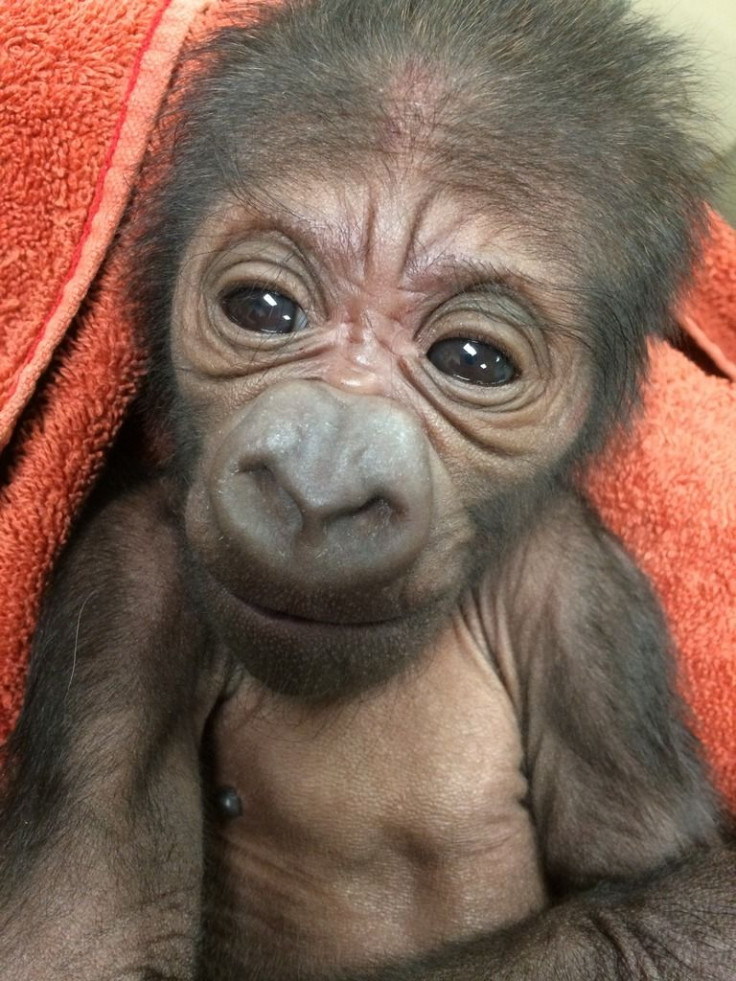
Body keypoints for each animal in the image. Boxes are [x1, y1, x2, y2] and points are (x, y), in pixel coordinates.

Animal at [1, 1, 736, 980]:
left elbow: (645, 882)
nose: (319, 486)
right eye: (263, 310)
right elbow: (81, 934)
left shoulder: (589, 606)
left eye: (474, 360)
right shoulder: (123, 581)